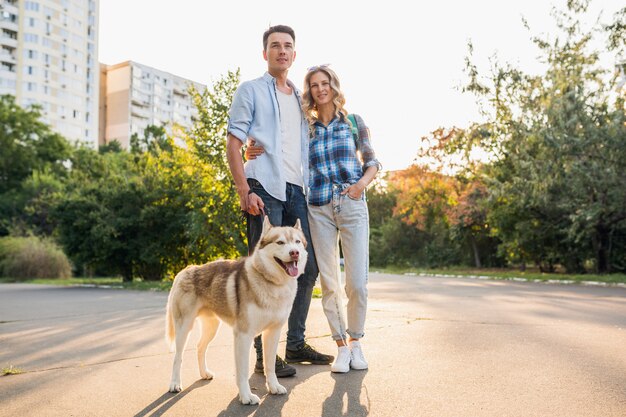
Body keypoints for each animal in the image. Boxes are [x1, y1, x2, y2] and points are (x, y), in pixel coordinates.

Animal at [163, 216, 304, 404]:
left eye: (297, 242)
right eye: (280, 242)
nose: (295, 252)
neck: (273, 284)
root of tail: (187, 269)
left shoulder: (273, 332)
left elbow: (270, 366)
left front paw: (274, 387)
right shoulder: (243, 335)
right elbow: (242, 372)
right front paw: (246, 396)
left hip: (211, 328)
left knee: (200, 347)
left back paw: (204, 373)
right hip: (184, 328)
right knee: (177, 357)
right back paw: (174, 383)